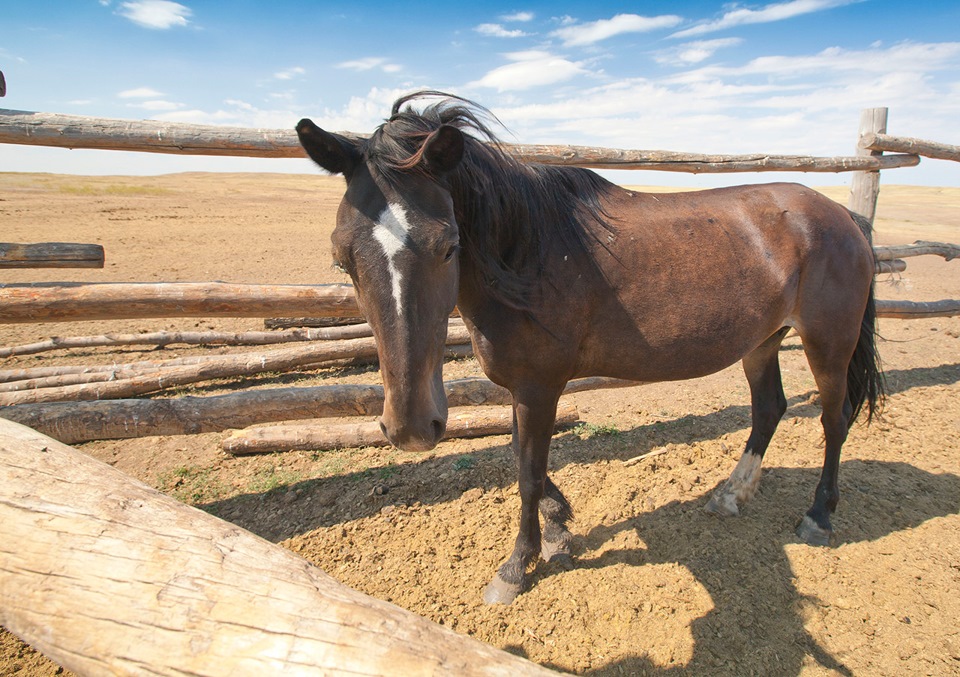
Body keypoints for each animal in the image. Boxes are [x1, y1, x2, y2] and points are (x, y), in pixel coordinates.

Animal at [294, 90, 884, 604]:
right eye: (342, 259)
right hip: (761, 342)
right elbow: (520, 455)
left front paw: (518, 565)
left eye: (448, 247)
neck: (527, 254)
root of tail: (844, 218)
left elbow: (528, 472)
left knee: (834, 418)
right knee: (769, 409)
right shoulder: (522, 387)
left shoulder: (540, 387)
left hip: (828, 343)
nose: (412, 429)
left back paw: (819, 515)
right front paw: (558, 524)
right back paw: (731, 494)